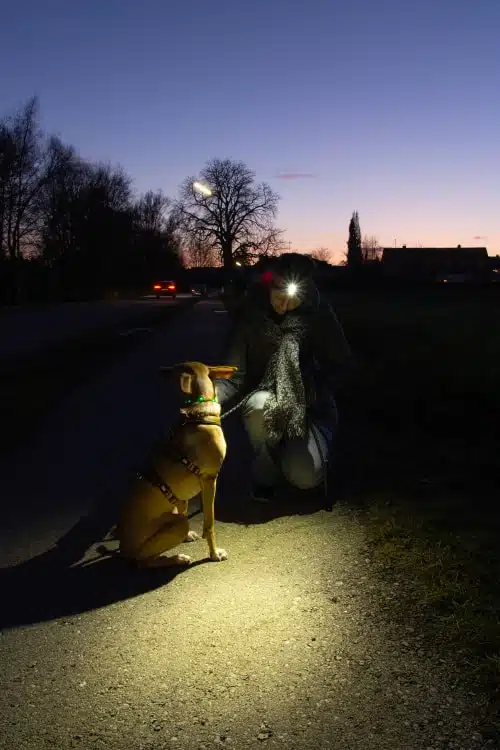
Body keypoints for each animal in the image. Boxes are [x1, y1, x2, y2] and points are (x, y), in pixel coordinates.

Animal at [116, 362, 237, 568]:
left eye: (173, 370)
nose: (159, 371)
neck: (198, 414)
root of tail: (122, 550)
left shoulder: (183, 496)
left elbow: (185, 509)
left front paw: (191, 538)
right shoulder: (209, 480)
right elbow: (209, 525)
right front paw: (214, 554)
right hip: (176, 526)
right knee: (144, 562)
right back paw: (176, 558)